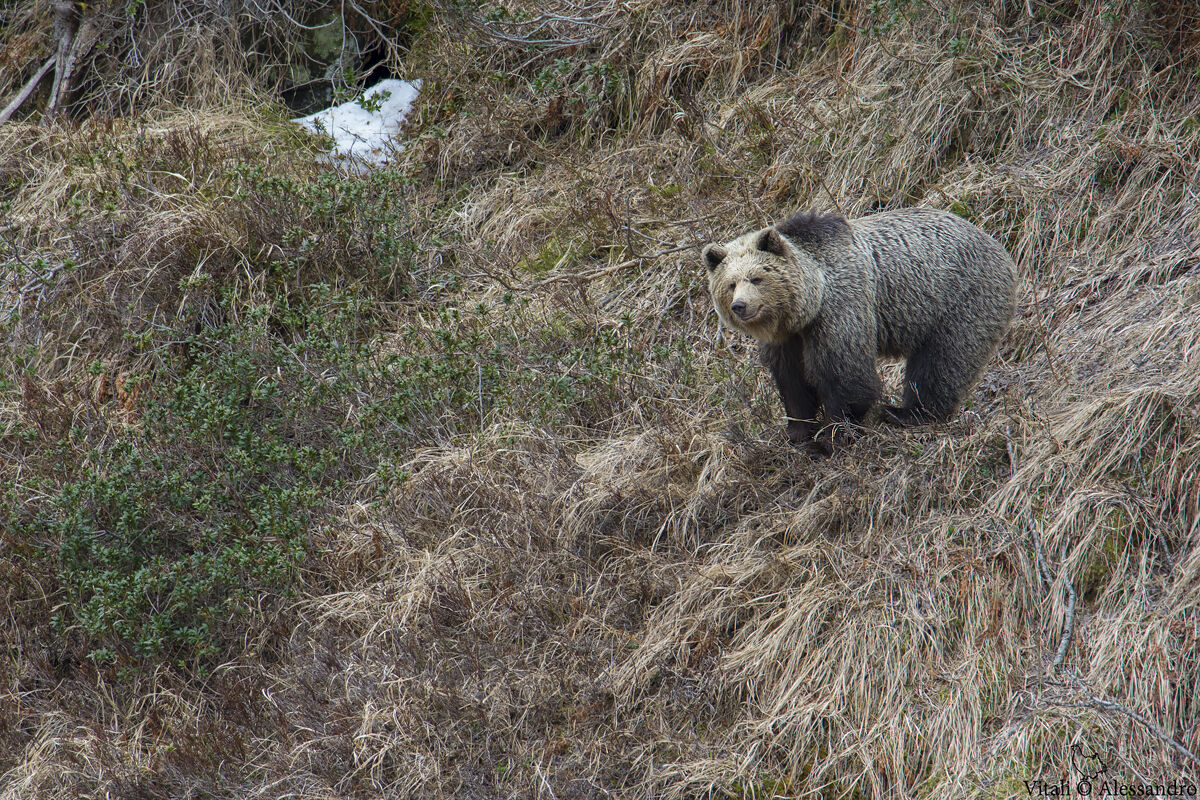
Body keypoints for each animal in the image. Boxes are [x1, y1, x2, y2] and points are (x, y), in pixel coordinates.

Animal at [703, 208, 1016, 451]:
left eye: (756, 278)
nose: (740, 306)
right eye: (730, 283)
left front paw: (834, 435)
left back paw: (906, 413)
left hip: (960, 299)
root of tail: (998, 245)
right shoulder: (787, 340)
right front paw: (798, 431)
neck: (808, 305)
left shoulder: (841, 308)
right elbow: (792, 381)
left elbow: (845, 374)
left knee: (942, 362)